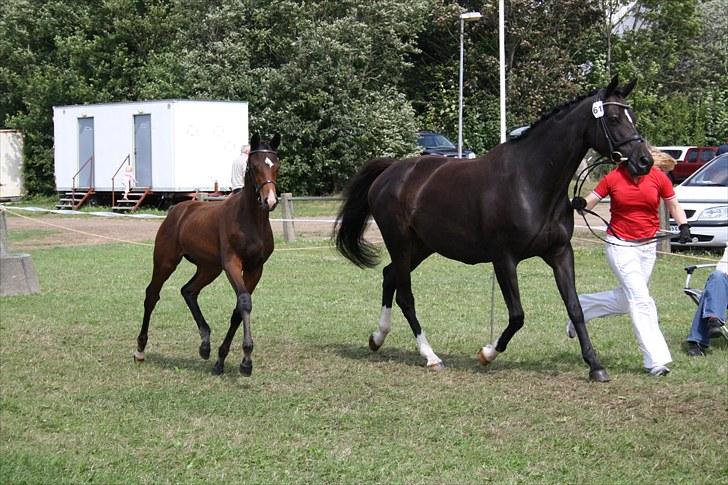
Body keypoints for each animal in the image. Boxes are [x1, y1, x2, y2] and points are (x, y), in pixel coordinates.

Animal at [135, 134, 282, 376]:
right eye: (253, 166)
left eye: (276, 165)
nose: (269, 200)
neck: (250, 220)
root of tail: (176, 210)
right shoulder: (232, 264)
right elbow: (244, 302)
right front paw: (246, 360)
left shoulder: (255, 268)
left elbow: (238, 309)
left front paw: (221, 360)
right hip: (166, 262)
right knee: (152, 295)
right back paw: (140, 349)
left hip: (208, 268)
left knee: (188, 291)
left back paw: (205, 344)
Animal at [332, 75, 652, 380]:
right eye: (614, 118)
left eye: (633, 115)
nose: (644, 161)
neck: (530, 182)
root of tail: (390, 171)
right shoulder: (504, 259)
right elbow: (517, 315)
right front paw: (487, 353)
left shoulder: (560, 253)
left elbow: (575, 307)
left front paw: (595, 366)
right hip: (399, 243)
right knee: (405, 295)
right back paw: (430, 356)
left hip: (422, 247)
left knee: (389, 277)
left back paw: (377, 338)